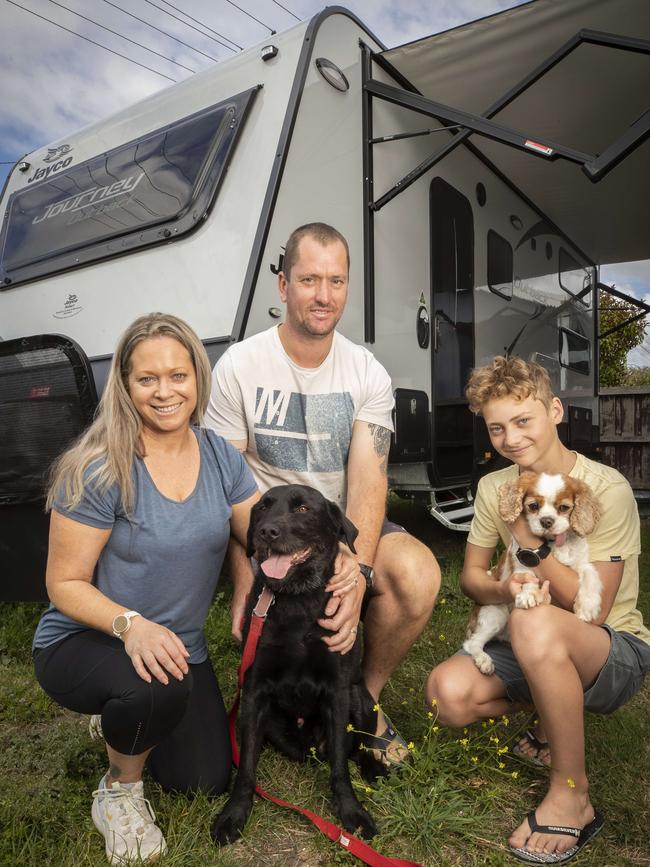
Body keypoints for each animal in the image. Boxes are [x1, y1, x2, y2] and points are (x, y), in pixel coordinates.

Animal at [464, 472, 600, 676]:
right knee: (471, 643)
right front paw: (529, 595)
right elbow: (528, 577)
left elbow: (591, 576)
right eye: (533, 506)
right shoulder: (523, 559)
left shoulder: (582, 564)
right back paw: (483, 660)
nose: (546, 521)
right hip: (496, 613)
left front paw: (587, 607)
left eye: (564, 508)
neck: (551, 544)